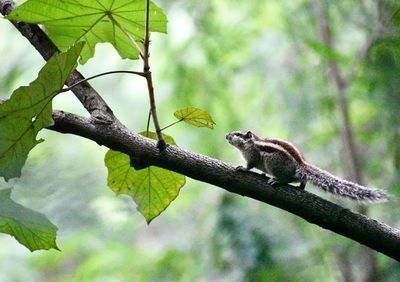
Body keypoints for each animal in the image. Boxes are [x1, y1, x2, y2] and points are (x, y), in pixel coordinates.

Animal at [227, 131, 390, 203]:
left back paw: (278, 180)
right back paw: (301, 186)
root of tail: (301, 165)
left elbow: (250, 165)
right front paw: (261, 174)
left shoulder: (252, 155)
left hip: (274, 165)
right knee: (301, 179)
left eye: (237, 134)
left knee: (288, 179)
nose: (226, 135)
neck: (251, 143)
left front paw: (242, 168)